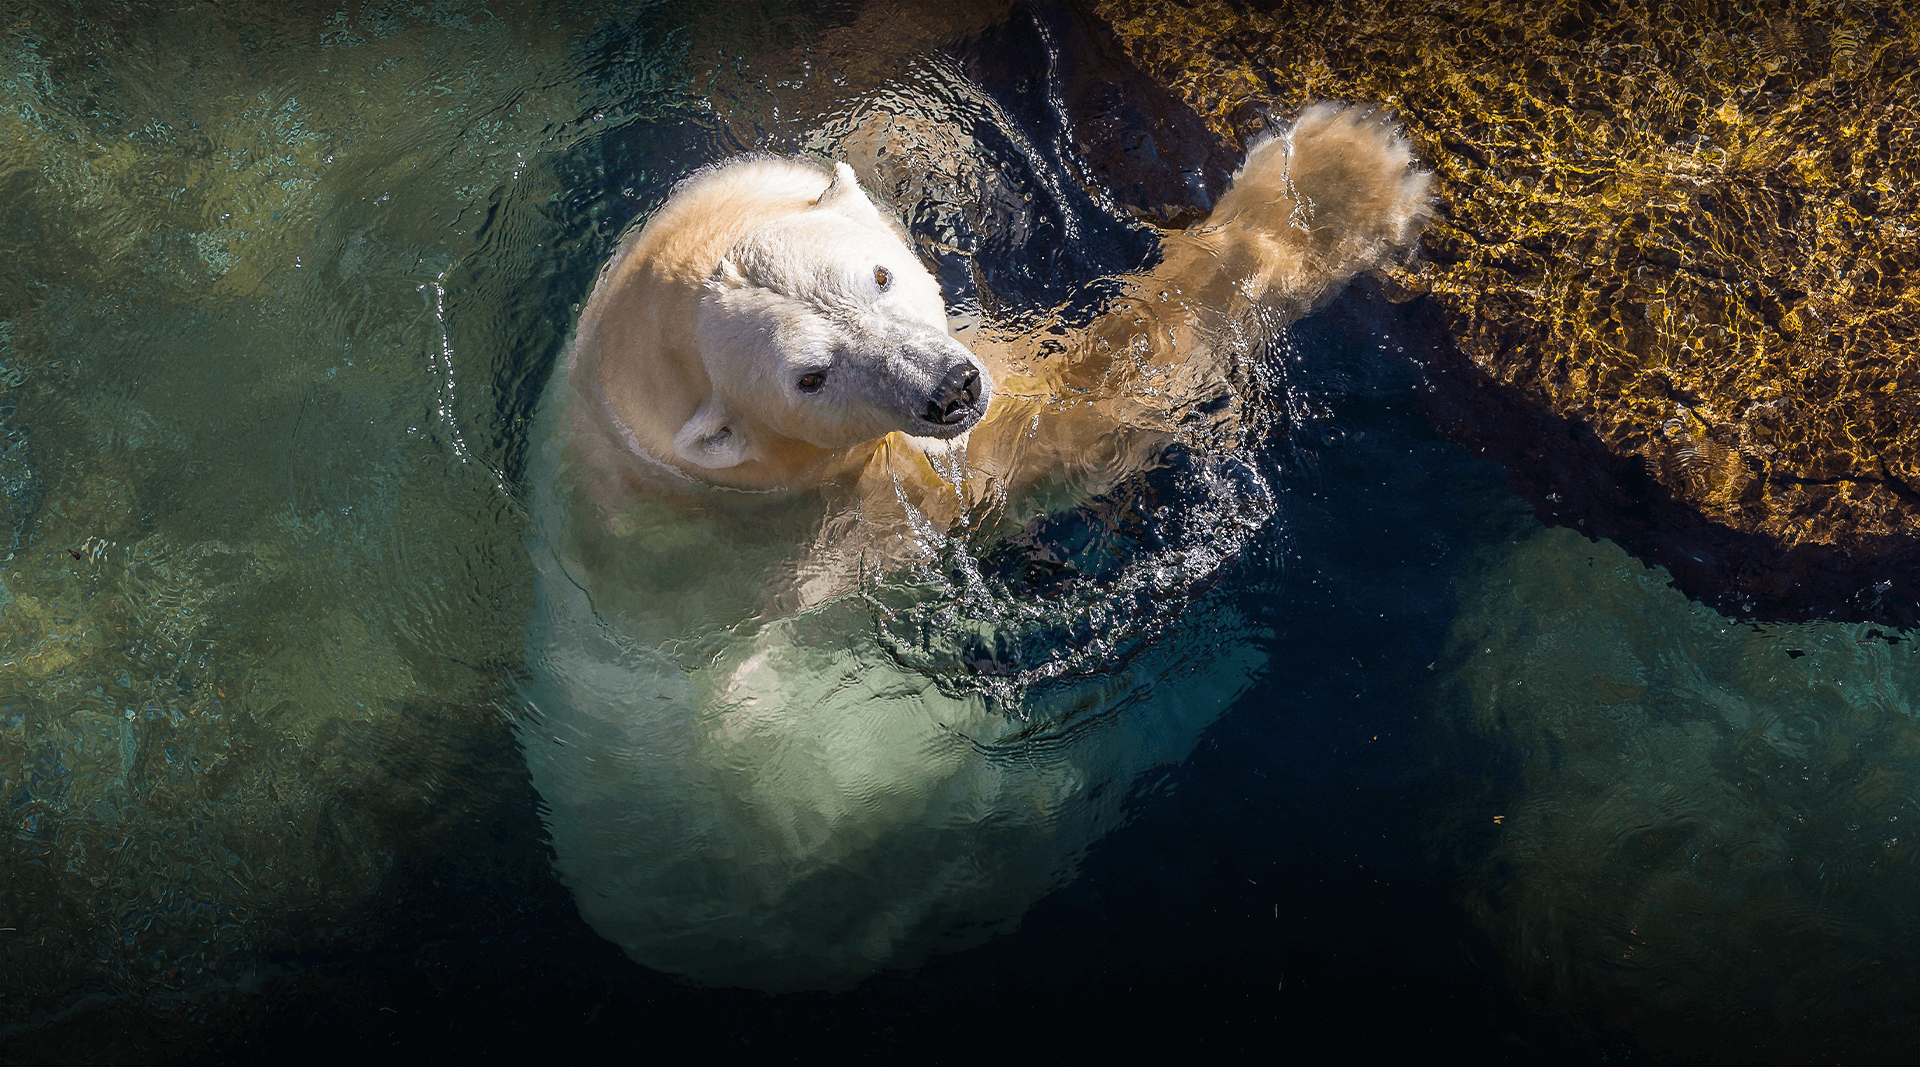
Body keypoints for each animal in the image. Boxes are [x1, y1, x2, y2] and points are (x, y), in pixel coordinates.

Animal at [518, 102, 1436, 990]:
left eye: (878, 276)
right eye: (809, 378)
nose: (949, 387)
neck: (648, 431)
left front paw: (917, 142)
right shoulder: (851, 503)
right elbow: (1069, 416)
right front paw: (1339, 177)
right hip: (891, 796)